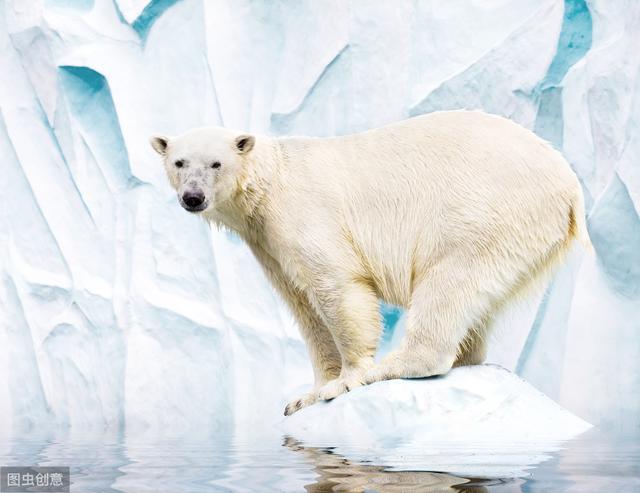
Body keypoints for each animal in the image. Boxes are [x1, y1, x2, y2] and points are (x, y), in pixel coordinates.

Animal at [151, 109, 592, 414]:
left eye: (215, 163)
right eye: (179, 162)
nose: (193, 197)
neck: (271, 183)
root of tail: (570, 185)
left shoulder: (304, 216)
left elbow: (337, 289)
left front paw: (345, 381)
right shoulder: (268, 244)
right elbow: (304, 308)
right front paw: (306, 395)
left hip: (486, 211)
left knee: (449, 281)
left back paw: (395, 364)